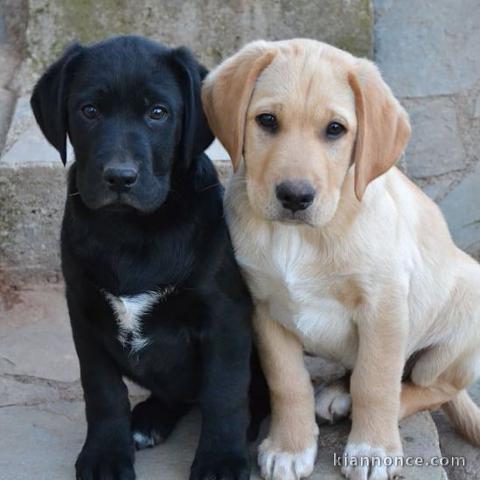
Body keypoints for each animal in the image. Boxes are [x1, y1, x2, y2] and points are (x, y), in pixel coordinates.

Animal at [31, 36, 258, 480]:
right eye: (89, 110)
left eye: (158, 113)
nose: (120, 177)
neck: (130, 230)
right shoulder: (83, 311)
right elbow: (102, 391)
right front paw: (105, 453)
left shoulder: (225, 317)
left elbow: (225, 394)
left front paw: (221, 459)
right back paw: (148, 420)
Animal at [201, 40, 480, 480]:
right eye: (267, 121)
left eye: (335, 129)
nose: (295, 196)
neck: (301, 237)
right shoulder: (263, 307)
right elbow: (287, 382)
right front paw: (290, 446)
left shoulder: (383, 305)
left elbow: (376, 381)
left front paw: (373, 448)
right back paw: (335, 394)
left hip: (457, 325)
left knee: (429, 387)